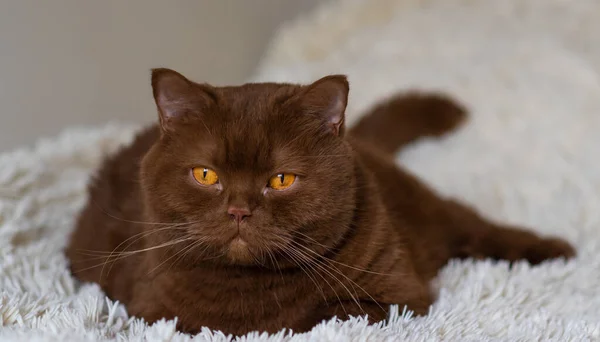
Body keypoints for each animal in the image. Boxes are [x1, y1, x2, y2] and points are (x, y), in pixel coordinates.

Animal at [63, 68, 576, 336]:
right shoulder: (151, 313)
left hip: (435, 213)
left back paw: (556, 251)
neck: (251, 289)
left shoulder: (398, 297)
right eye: (206, 175)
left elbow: (319, 316)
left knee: (480, 228)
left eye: (281, 179)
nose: (239, 210)